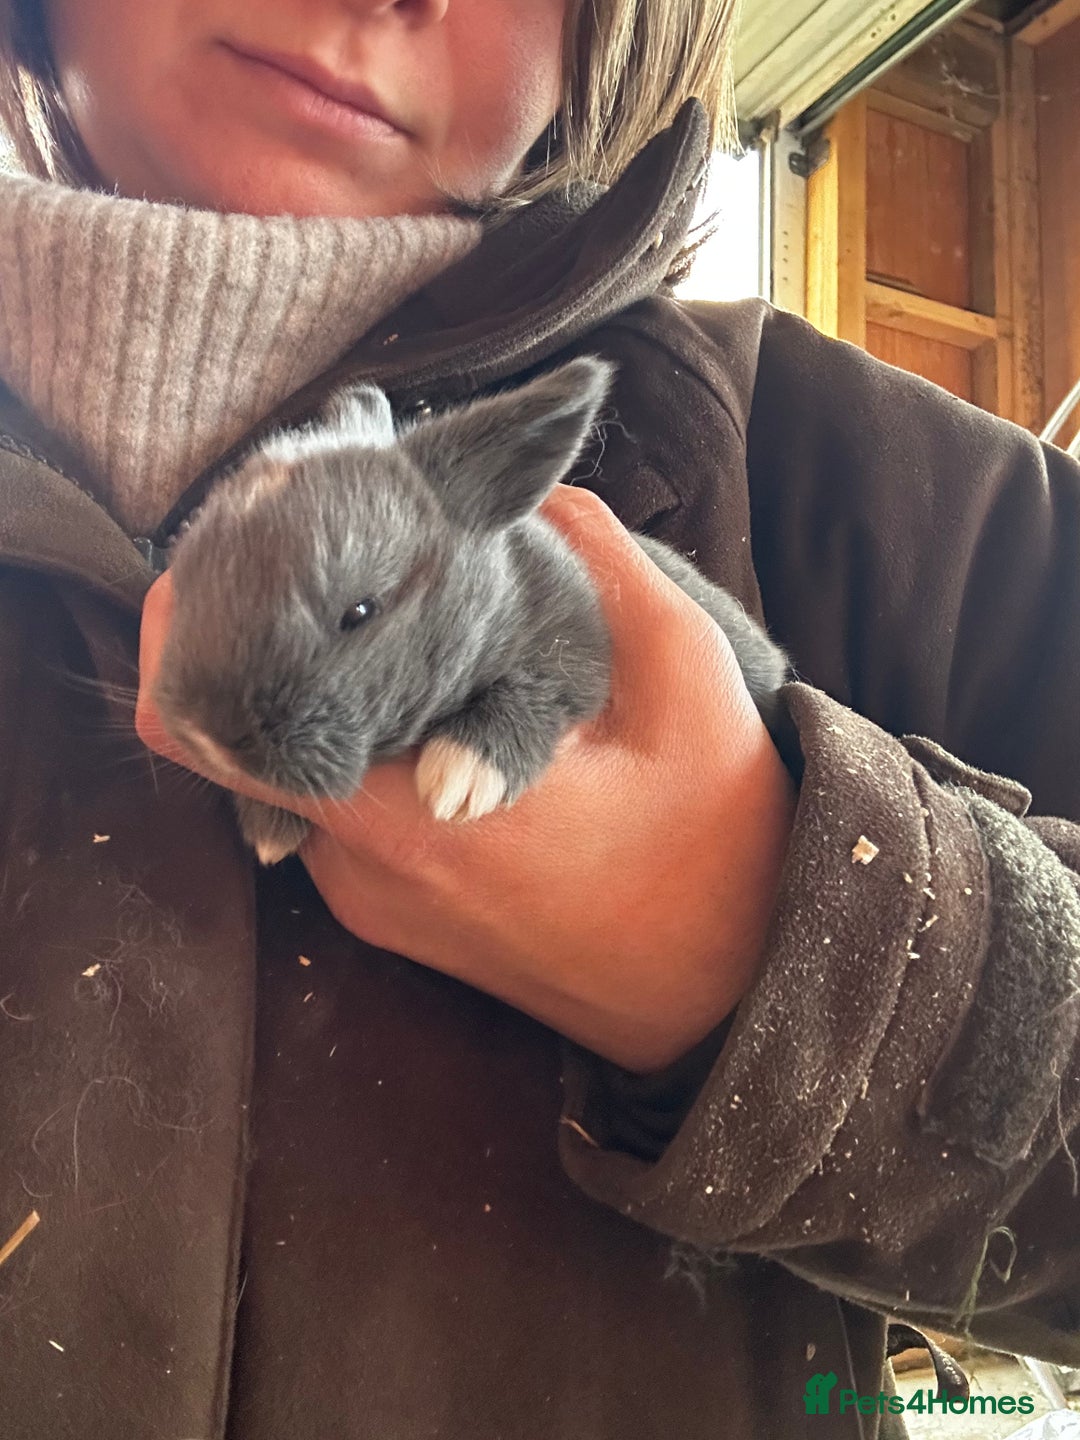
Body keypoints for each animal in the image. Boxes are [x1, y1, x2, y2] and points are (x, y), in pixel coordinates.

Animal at [151, 357, 789, 866]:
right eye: (189, 575)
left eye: (360, 611)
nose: (208, 737)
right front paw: (270, 829)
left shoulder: (576, 643)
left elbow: (542, 687)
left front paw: (461, 774)